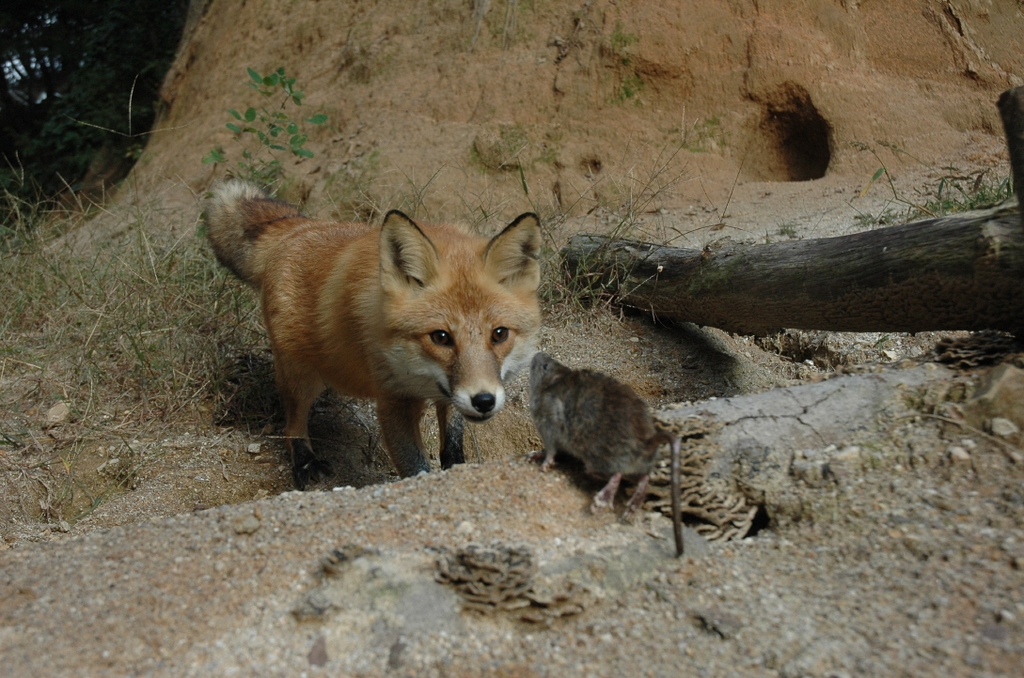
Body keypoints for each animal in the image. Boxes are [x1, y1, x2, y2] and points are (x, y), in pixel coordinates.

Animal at [201, 180, 544, 489]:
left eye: (499, 334)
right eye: (441, 337)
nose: (484, 400)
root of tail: (300, 226)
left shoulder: (448, 397)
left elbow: (452, 446)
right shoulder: (393, 399)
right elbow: (416, 468)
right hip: (302, 373)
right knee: (292, 421)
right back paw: (305, 462)